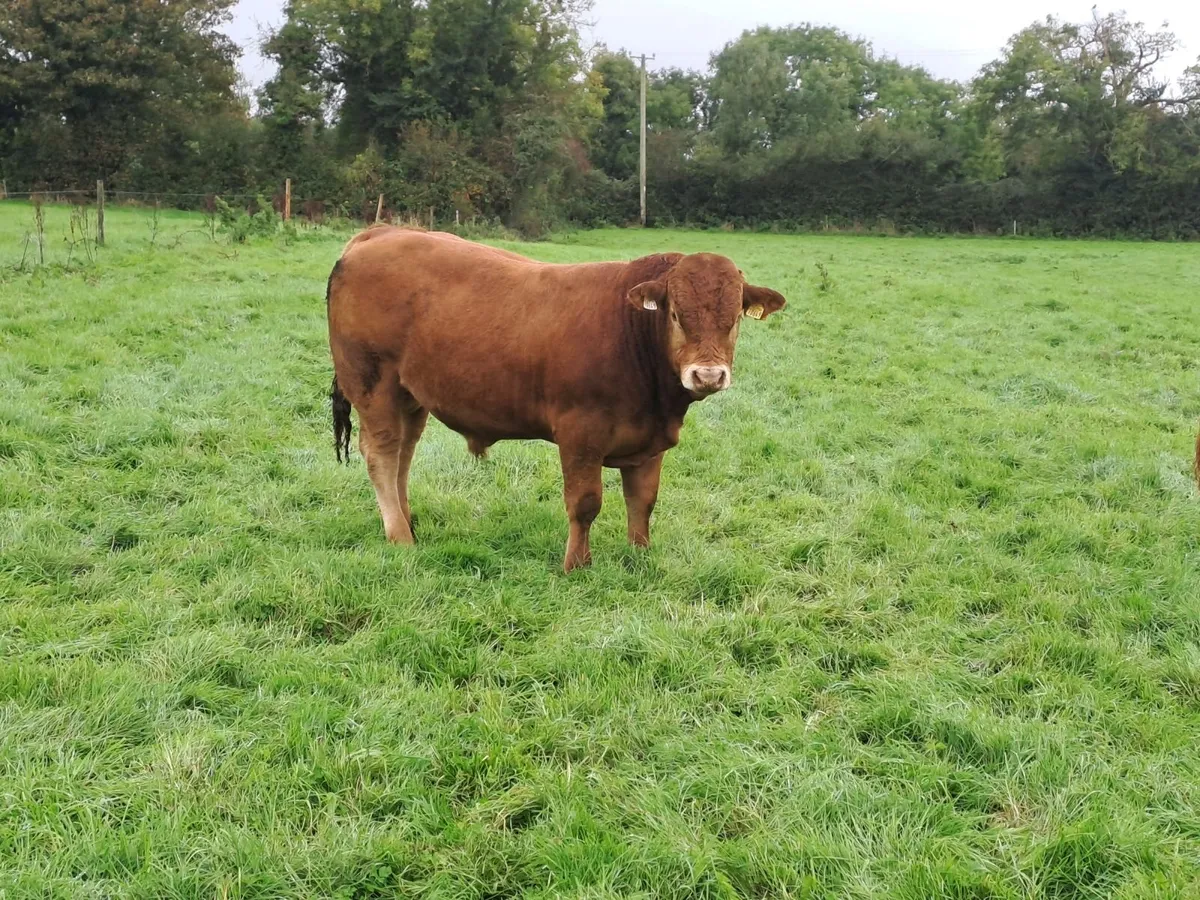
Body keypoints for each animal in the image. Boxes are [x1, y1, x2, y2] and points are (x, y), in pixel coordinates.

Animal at [326, 227, 787, 572]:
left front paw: (640, 556)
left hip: (411, 394)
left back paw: (407, 520)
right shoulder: (580, 434)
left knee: (404, 453)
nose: (708, 375)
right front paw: (576, 565)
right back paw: (400, 536)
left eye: (734, 320)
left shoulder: (650, 441)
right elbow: (585, 504)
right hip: (373, 384)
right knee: (382, 454)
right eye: (675, 315)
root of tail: (379, 233)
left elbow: (643, 500)